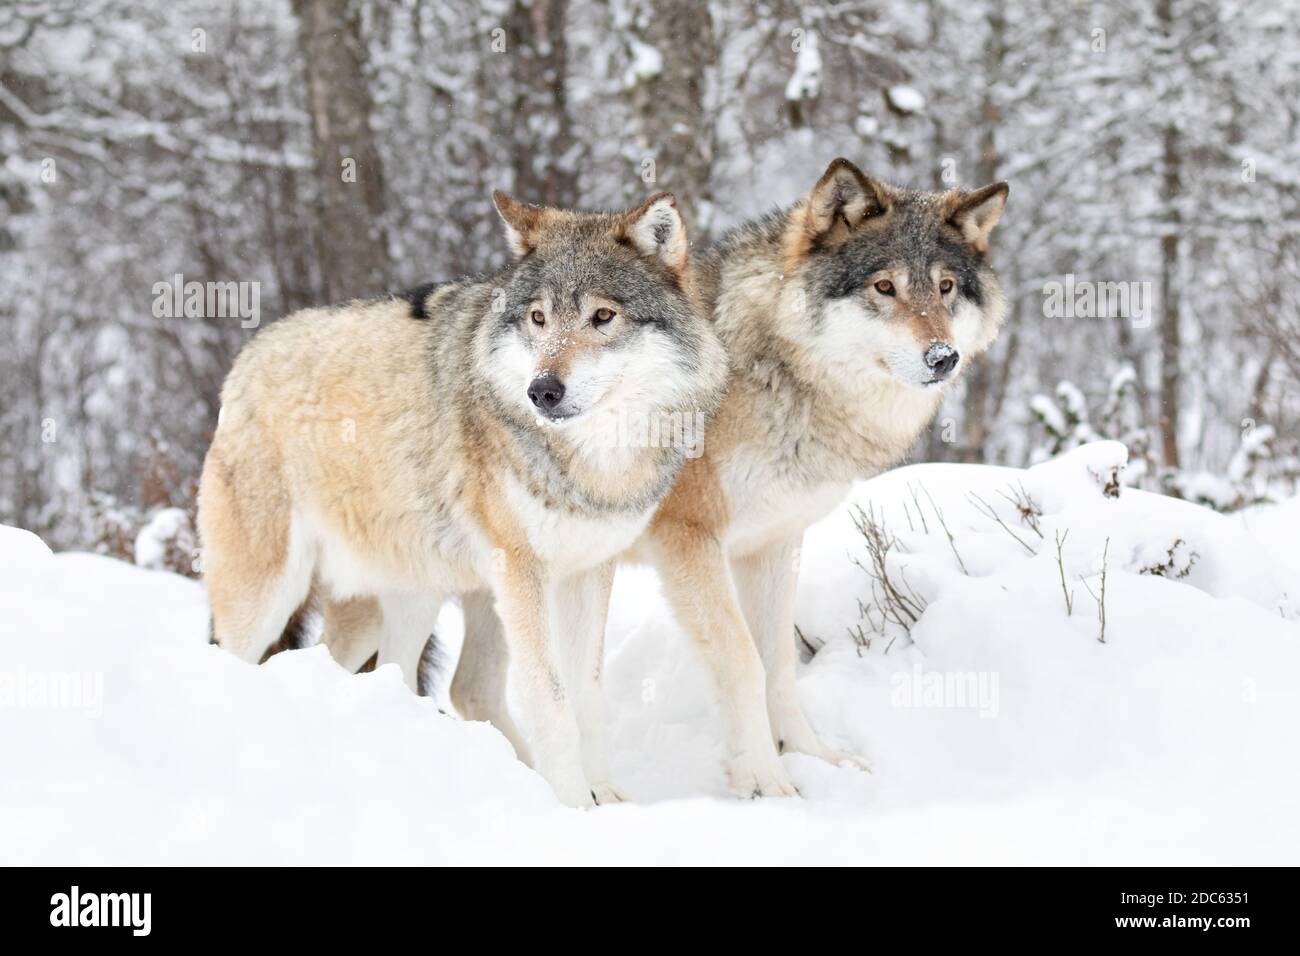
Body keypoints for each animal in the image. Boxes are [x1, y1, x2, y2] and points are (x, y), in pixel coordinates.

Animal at [202, 191, 733, 806]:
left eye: (603, 317)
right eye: (538, 318)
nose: (542, 391)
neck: (590, 463)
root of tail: (245, 358)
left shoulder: (588, 571)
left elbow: (587, 693)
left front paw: (605, 797)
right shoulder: (521, 572)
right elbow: (551, 701)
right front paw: (574, 805)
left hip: (399, 604)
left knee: (377, 672)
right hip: (267, 598)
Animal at [449, 160, 1013, 796]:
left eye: (945, 288)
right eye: (884, 288)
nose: (943, 357)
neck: (770, 372)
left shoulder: (772, 543)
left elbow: (779, 663)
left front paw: (813, 755)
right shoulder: (688, 539)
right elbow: (743, 659)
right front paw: (765, 779)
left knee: (470, 688)